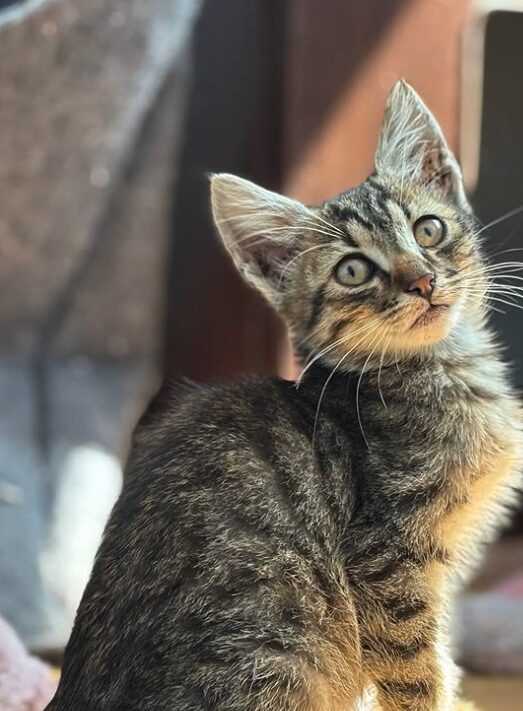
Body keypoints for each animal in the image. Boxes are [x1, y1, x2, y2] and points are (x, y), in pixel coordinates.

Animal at [48, 80, 520, 708]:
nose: (422, 281)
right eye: (352, 271)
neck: (442, 369)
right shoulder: (385, 565)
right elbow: (419, 672)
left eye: (428, 230)